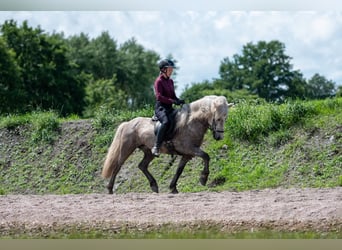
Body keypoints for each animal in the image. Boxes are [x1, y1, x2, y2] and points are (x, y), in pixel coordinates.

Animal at [101, 94, 234, 194]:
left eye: (225, 118)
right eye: (217, 118)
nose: (219, 137)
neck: (192, 122)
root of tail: (128, 123)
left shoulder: (187, 154)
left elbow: (179, 170)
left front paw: (173, 187)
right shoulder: (189, 148)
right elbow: (206, 156)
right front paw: (203, 178)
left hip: (148, 151)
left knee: (142, 166)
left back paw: (154, 186)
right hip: (127, 148)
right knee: (117, 166)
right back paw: (110, 189)